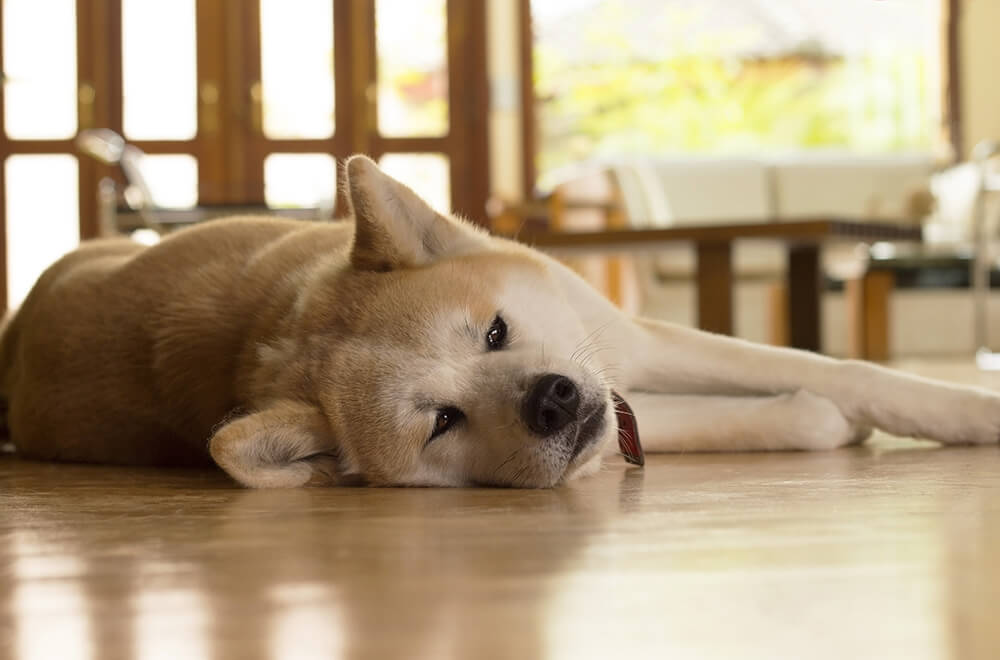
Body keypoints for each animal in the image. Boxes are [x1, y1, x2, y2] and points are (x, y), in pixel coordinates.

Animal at [1, 153, 1000, 484]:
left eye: (494, 333)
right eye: (444, 421)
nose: (551, 398)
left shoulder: (627, 343)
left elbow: (848, 370)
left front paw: (968, 411)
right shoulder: (626, 397)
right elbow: (770, 409)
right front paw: (815, 421)